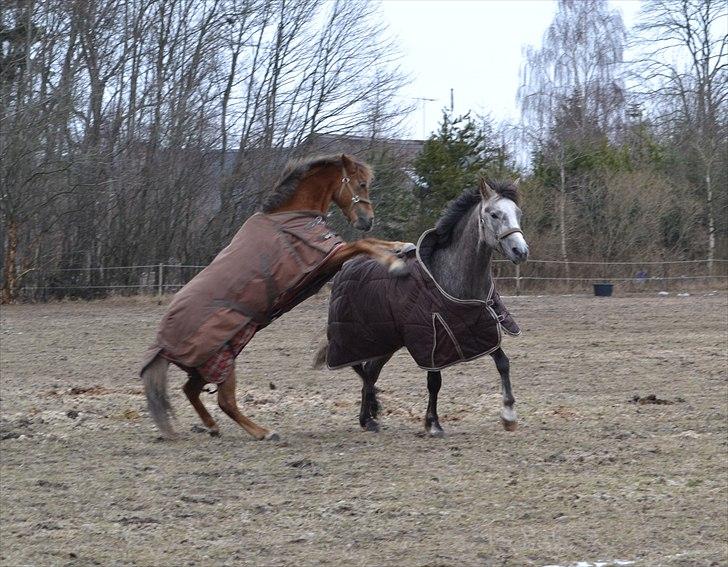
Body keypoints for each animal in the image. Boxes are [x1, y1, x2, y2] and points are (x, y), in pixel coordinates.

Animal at [139, 155, 406, 444]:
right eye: (361, 184)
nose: (367, 220)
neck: (289, 217)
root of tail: (161, 345)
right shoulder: (325, 260)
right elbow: (362, 244)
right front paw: (395, 263)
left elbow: (369, 242)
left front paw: (402, 246)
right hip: (222, 359)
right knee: (224, 401)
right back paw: (263, 432)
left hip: (213, 360)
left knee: (191, 390)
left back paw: (213, 427)